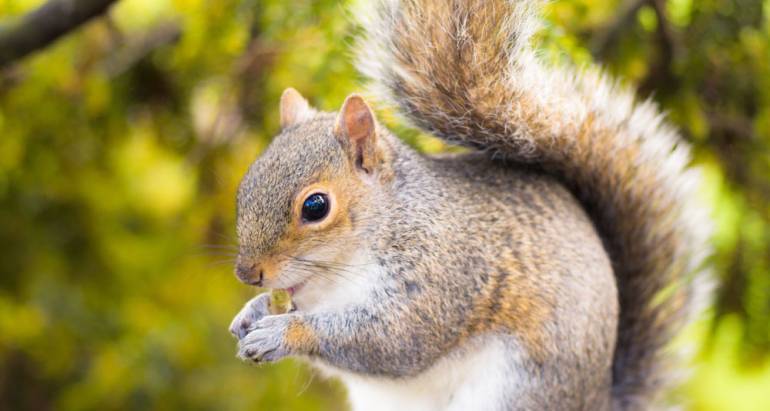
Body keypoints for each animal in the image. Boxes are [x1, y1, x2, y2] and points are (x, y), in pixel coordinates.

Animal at [228, 0, 711, 410]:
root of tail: (598, 400)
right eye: (245, 185)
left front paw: (283, 333)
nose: (248, 274)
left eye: (315, 207)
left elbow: (393, 341)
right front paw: (252, 313)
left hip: (516, 393)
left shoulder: (444, 274)